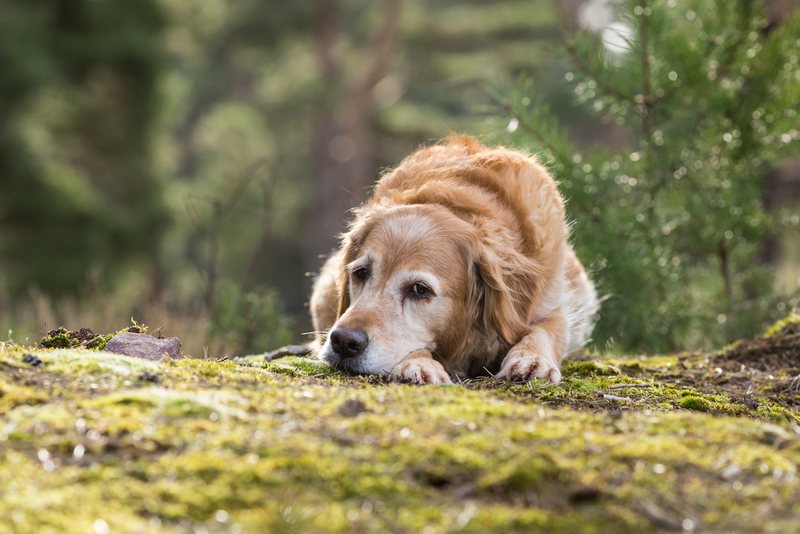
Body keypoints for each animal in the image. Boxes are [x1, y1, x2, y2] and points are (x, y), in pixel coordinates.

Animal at [310, 135, 596, 386]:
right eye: (360, 273)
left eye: (419, 289)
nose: (343, 341)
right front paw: (418, 362)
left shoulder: (553, 305)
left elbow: (544, 330)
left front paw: (532, 358)